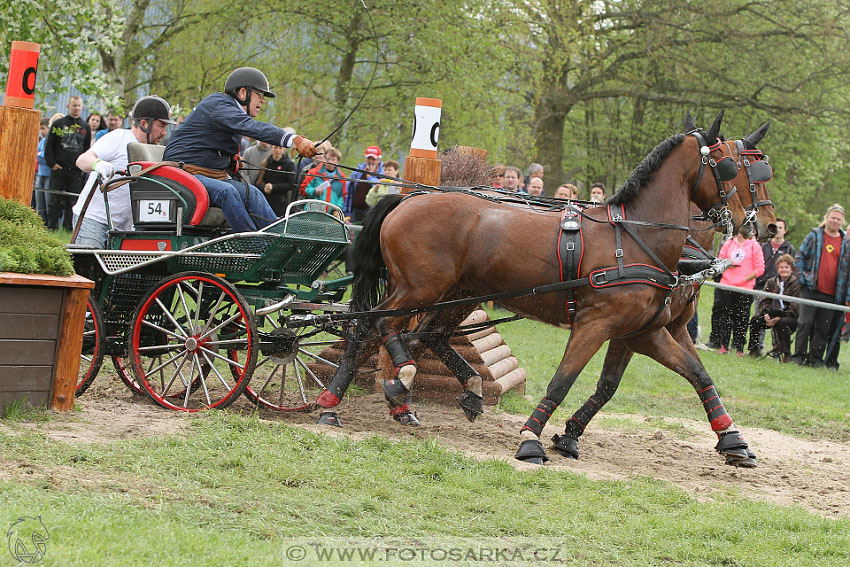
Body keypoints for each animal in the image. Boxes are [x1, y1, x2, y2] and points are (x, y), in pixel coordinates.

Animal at [318, 111, 760, 466]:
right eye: (728, 165)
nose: (750, 221)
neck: (634, 236)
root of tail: (409, 199)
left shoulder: (644, 331)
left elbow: (698, 374)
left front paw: (733, 440)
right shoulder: (596, 325)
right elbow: (562, 381)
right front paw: (532, 440)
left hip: (449, 294)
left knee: (407, 333)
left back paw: (369, 399)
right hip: (419, 289)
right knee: (375, 326)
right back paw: (368, 392)